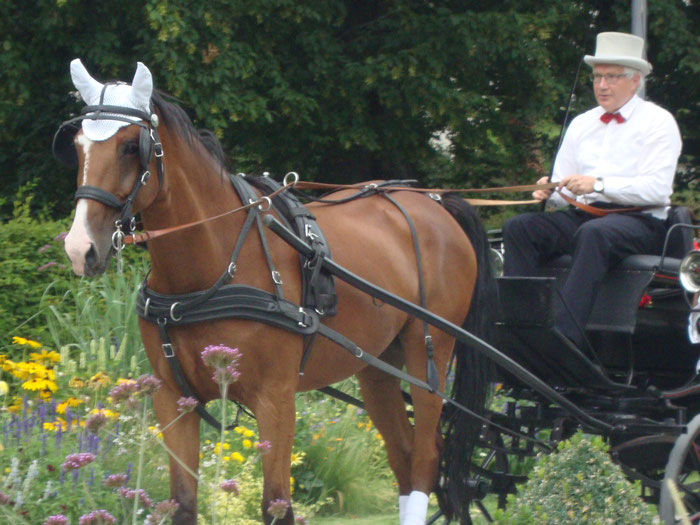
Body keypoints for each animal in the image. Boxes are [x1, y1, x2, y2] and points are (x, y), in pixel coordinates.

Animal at [57, 60, 494, 524]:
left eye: (128, 147)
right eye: (78, 146)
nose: (80, 248)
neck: (209, 272)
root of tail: (434, 202)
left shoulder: (276, 400)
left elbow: (276, 506)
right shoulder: (173, 399)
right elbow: (182, 504)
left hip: (428, 357)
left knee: (426, 458)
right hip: (377, 366)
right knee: (403, 455)